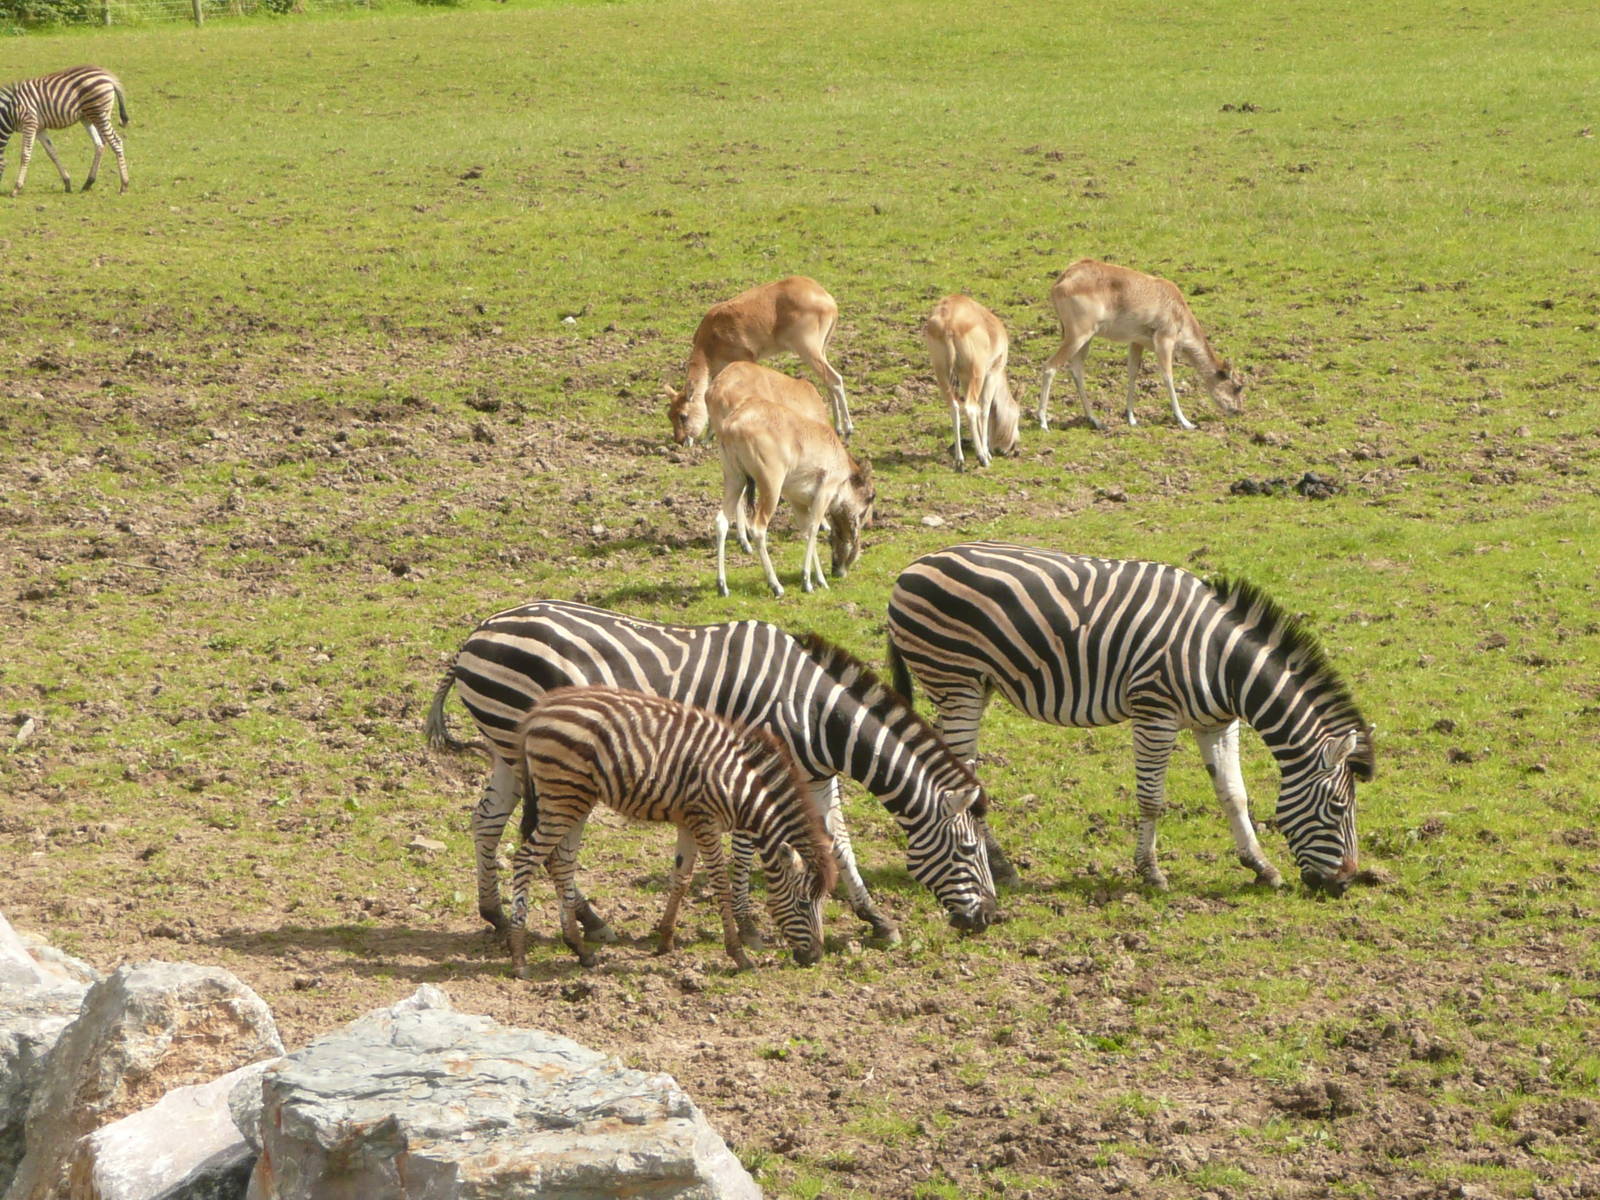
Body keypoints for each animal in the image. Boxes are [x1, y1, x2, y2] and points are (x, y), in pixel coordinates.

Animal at [0, 66, 129, 197]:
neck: (10, 112)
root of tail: (108, 76)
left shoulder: (30, 123)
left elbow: (25, 154)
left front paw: (16, 188)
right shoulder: (39, 128)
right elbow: (52, 153)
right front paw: (67, 182)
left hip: (99, 114)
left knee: (116, 142)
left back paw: (124, 185)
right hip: (88, 117)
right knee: (100, 144)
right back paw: (88, 183)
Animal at [508, 686, 838, 973]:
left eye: (823, 901)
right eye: (803, 903)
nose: (815, 958)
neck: (739, 787)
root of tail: (539, 710)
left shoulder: (689, 820)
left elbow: (682, 877)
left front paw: (665, 940)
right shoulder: (706, 821)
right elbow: (721, 884)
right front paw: (739, 955)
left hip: (576, 800)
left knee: (562, 863)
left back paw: (580, 949)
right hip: (562, 796)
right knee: (526, 858)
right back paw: (519, 958)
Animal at [885, 542, 1375, 895]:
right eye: (1338, 807)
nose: (1345, 884)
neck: (1224, 662)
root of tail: (909, 569)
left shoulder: (1216, 722)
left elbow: (1234, 795)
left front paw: (1262, 866)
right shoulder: (1154, 710)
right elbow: (1151, 799)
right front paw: (1151, 873)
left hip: (971, 686)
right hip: (957, 682)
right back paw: (1004, 869)